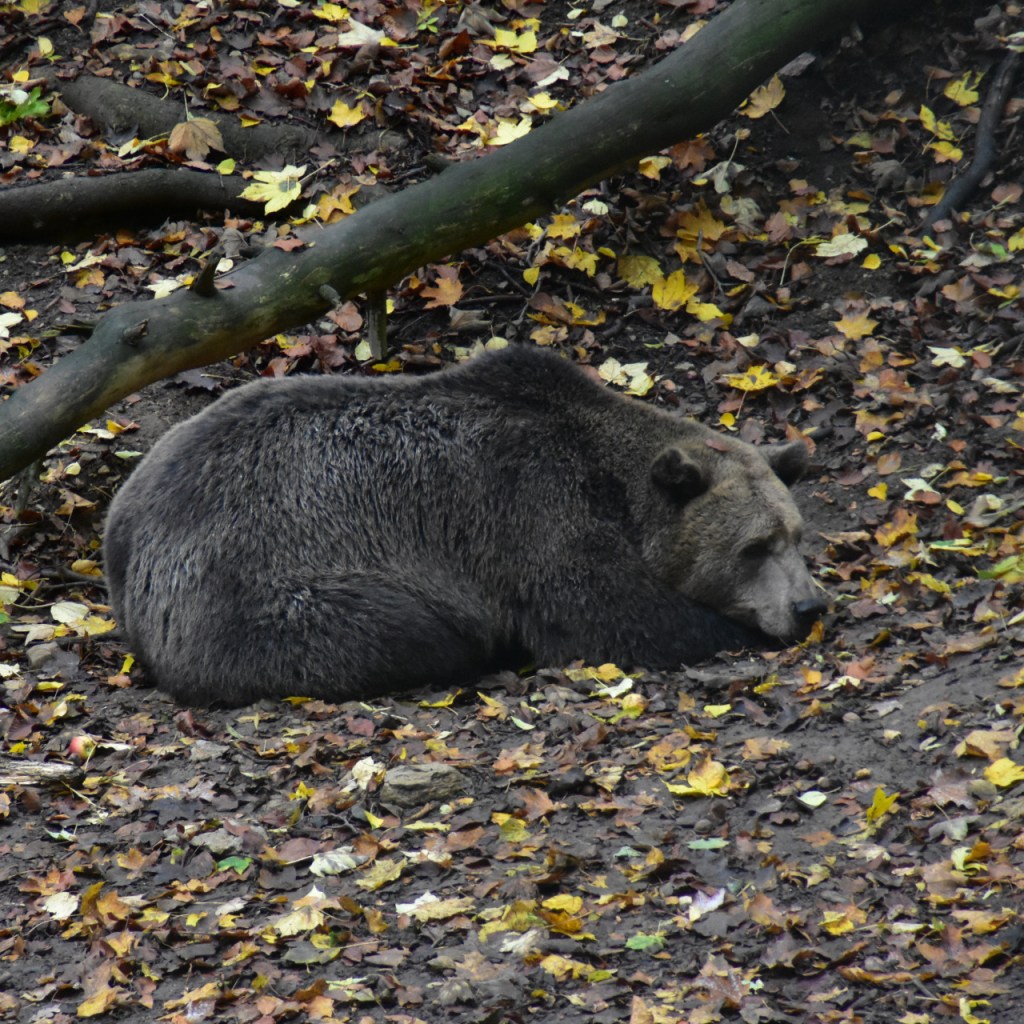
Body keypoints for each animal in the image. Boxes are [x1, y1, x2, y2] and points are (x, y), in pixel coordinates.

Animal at [103, 345, 826, 706]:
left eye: (795, 536)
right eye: (753, 547)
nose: (808, 605)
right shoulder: (529, 507)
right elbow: (606, 614)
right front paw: (730, 630)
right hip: (258, 587)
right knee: (411, 626)